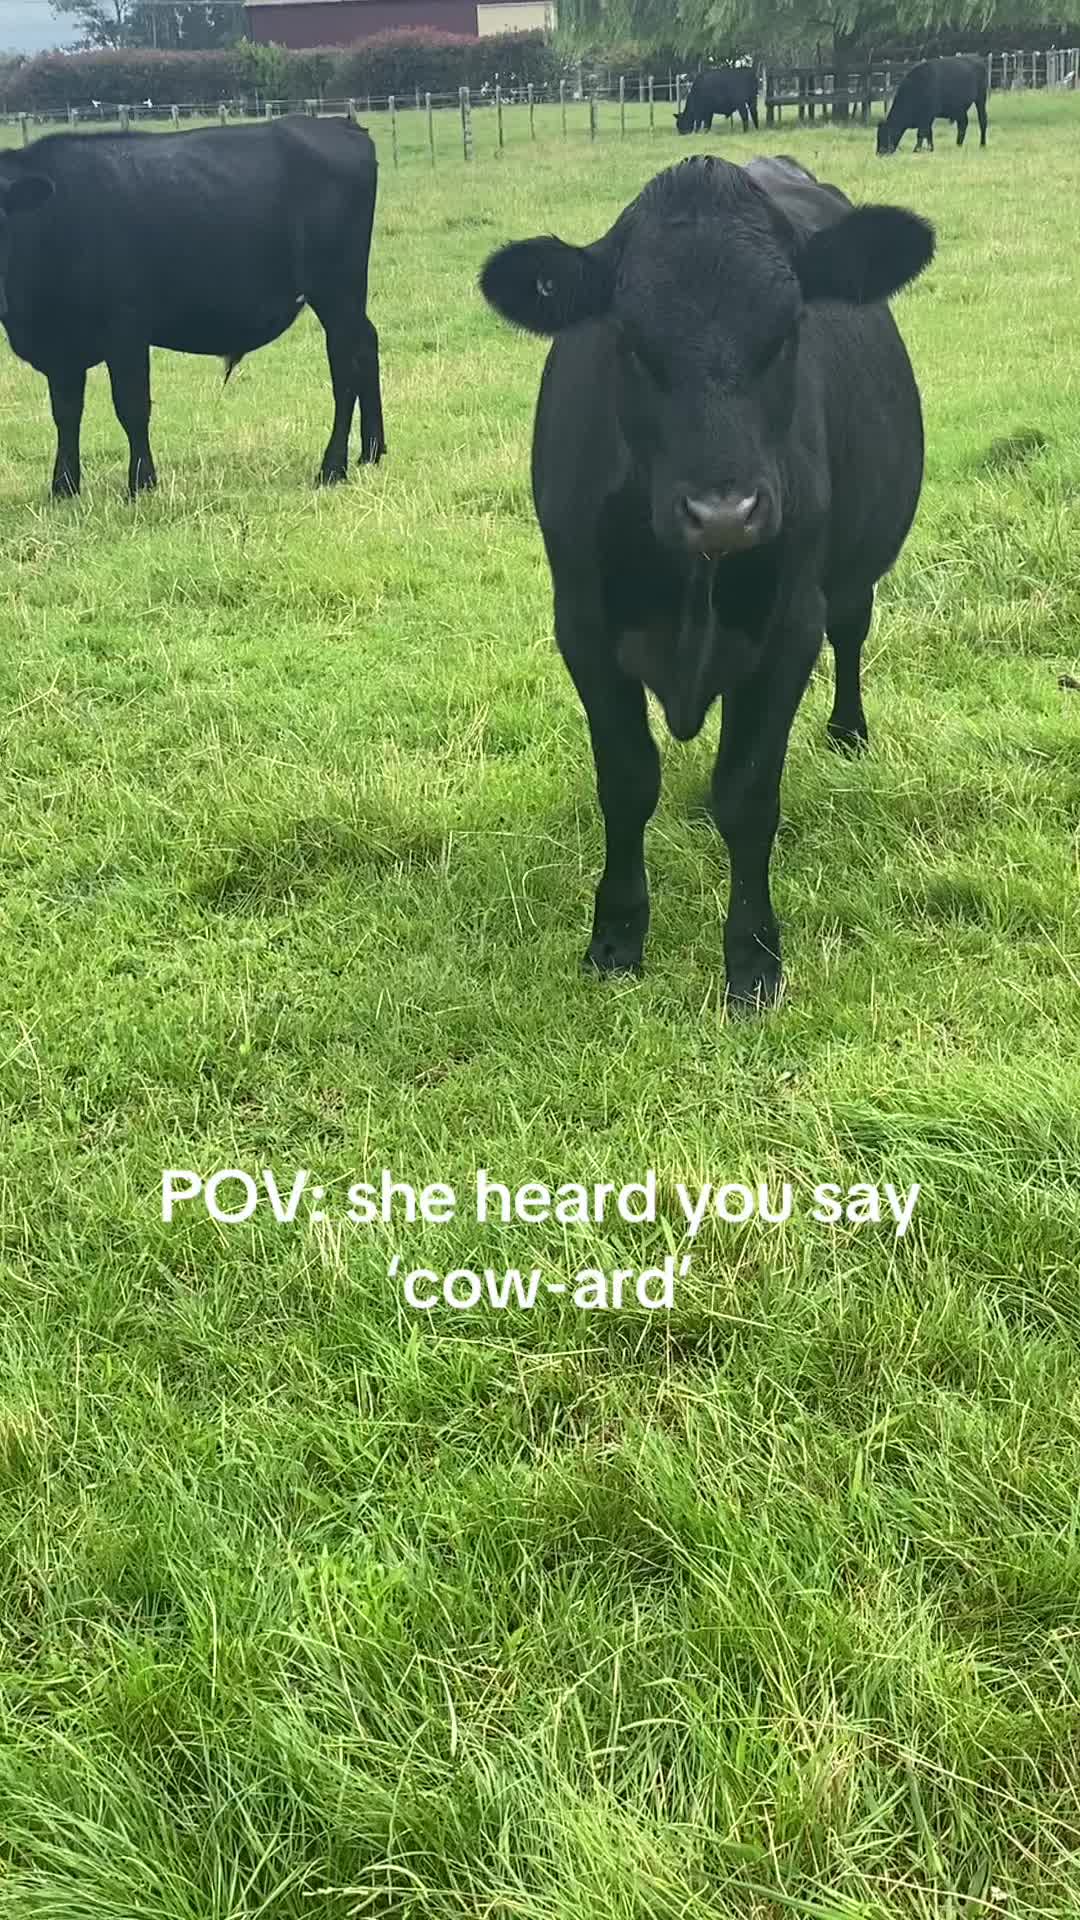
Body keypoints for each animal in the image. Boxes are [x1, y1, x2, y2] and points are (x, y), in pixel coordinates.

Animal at [0, 114, 385, 499]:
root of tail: (338, 124)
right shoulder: (61, 349)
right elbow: (65, 414)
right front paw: (63, 488)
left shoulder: (126, 329)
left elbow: (131, 407)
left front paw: (141, 483)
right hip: (346, 300)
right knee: (367, 345)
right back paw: (372, 451)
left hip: (338, 293)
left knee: (345, 371)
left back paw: (333, 468)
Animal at [479, 155, 934, 1010]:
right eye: (628, 339)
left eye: (787, 331)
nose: (724, 513)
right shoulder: (582, 628)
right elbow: (627, 781)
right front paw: (616, 938)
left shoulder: (789, 630)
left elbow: (747, 796)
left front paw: (753, 961)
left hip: (850, 580)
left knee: (853, 630)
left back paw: (848, 731)